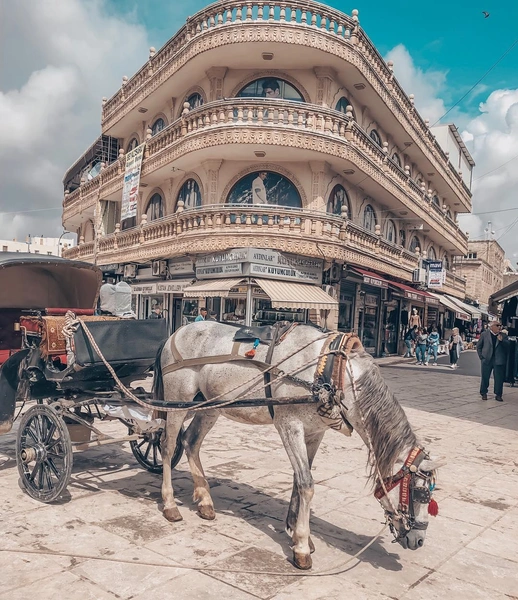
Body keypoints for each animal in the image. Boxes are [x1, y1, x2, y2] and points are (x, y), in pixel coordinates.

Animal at [153, 322, 442, 568]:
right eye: (420, 493)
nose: (418, 540)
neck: (336, 374)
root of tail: (176, 332)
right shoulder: (289, 425)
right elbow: (306, 483)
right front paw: (301, 546)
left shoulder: (314, 433)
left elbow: (299, 479)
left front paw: (294, 531)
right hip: (177, 401)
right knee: (167, 446)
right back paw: (170, 505)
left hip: (210, 406)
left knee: (191, 442)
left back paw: (205, 501)